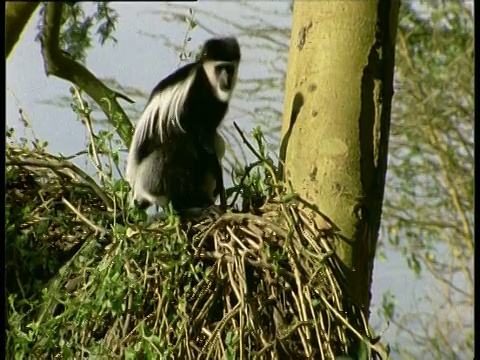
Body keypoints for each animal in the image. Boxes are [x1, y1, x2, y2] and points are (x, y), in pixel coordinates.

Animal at [125, 37, 242, 217]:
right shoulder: (192, 94)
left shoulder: (218, 105)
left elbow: (208, 138)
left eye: (229, 68)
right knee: (176, 149)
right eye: (219, 68)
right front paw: (217, 175)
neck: (207, 82)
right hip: (150, 176)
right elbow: (197, 137)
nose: (226, 80)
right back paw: (187, 205)